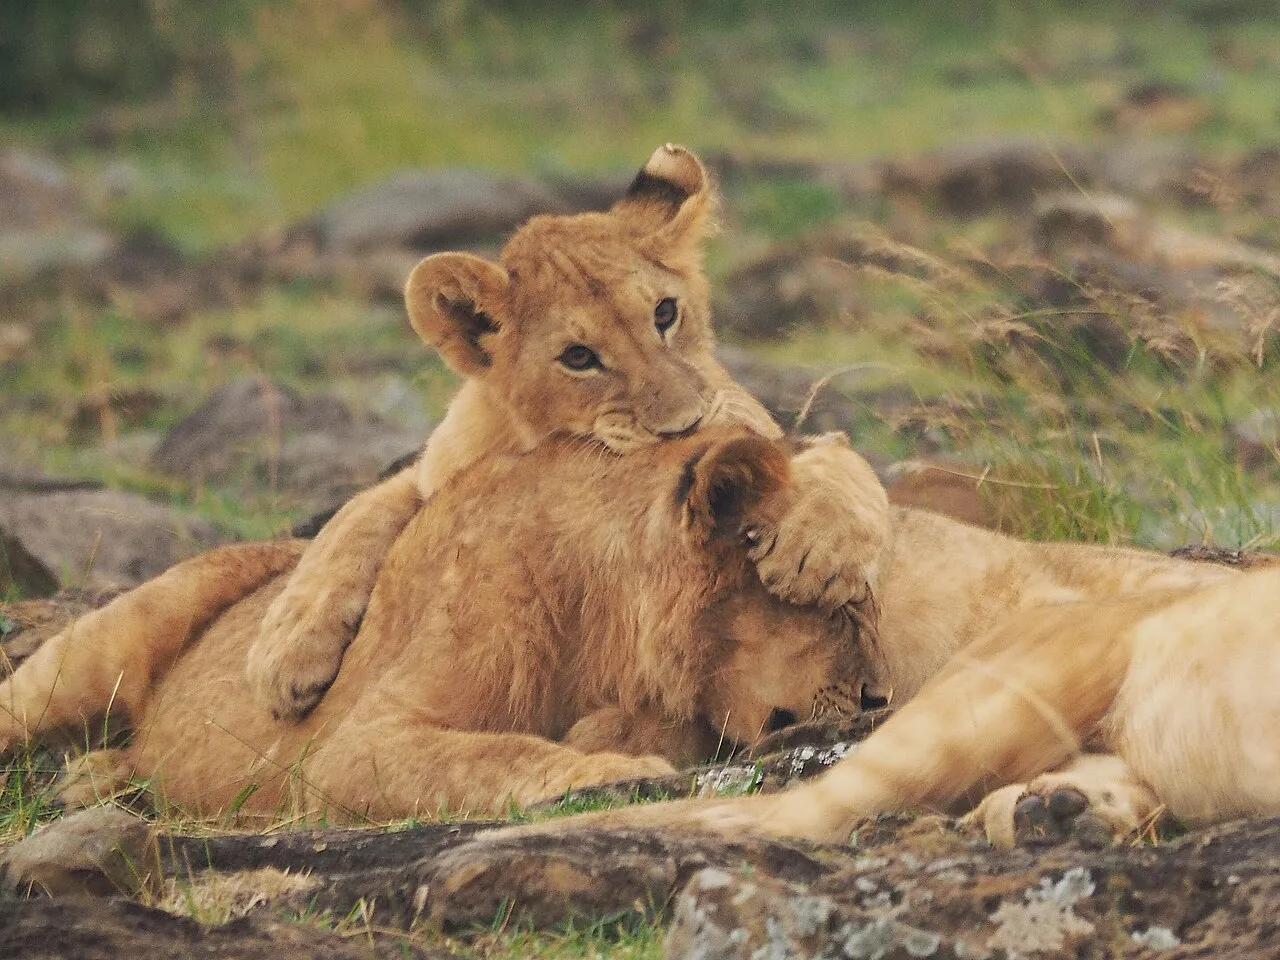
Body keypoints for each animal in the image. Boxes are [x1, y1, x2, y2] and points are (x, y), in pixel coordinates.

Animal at [0, 430, 878, 821]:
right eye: (840, 608)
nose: (877, 700)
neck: (609, 627)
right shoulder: (355, 747)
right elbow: (493, 754)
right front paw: (611, 767)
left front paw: (618, 734)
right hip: (94, 655)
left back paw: (104, 781)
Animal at [247, 144, 888, 724]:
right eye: (578, 357)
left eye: (664, 313)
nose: (686, 425)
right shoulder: (435, 476)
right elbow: (354, 516)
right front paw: (284, 656)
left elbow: (844, 468)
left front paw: (816, 550)